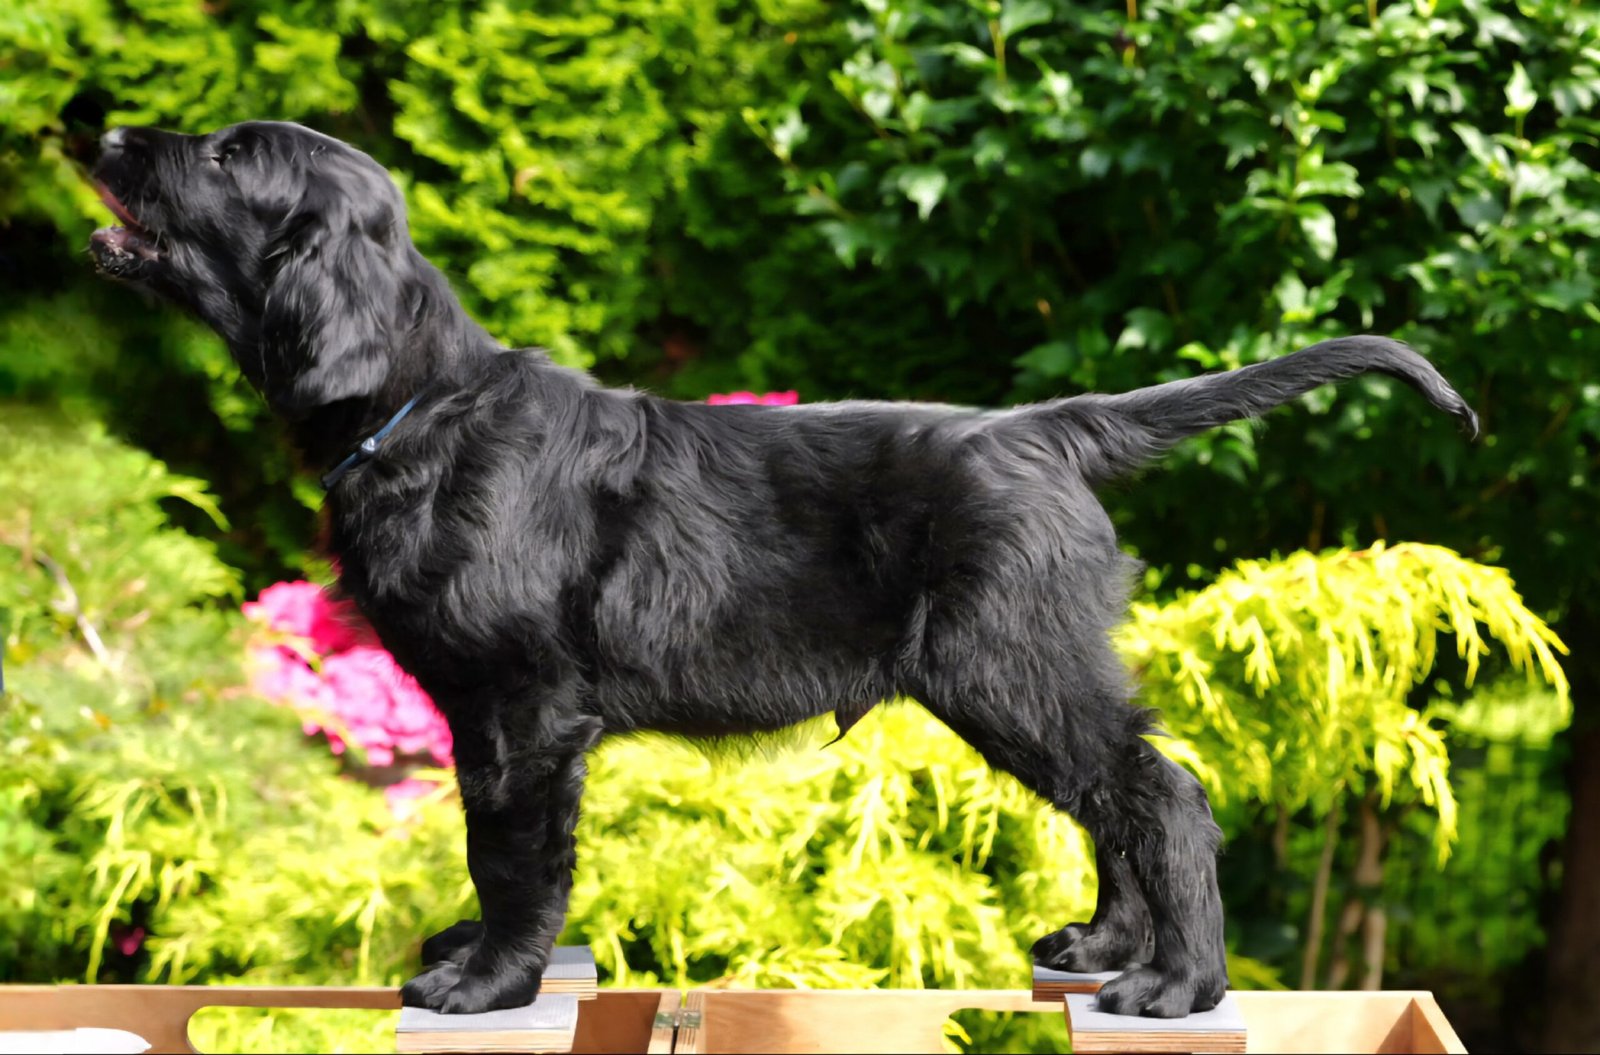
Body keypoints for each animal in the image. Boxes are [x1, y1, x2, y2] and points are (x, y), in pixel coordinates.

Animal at [88, 120, 1477, 1018]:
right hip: (1022, 674)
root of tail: (1045, 427)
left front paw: (484, 980)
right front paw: (480, 949)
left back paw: (1176, 982)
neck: (422, 401)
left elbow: (515, 852)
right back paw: (1100, 943)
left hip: (1007, 662)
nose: (100, 133)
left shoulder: (525, 707)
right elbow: (491, 845)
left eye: (224, 158)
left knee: (1161, 793)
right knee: (1113, 799)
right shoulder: (482, 713)